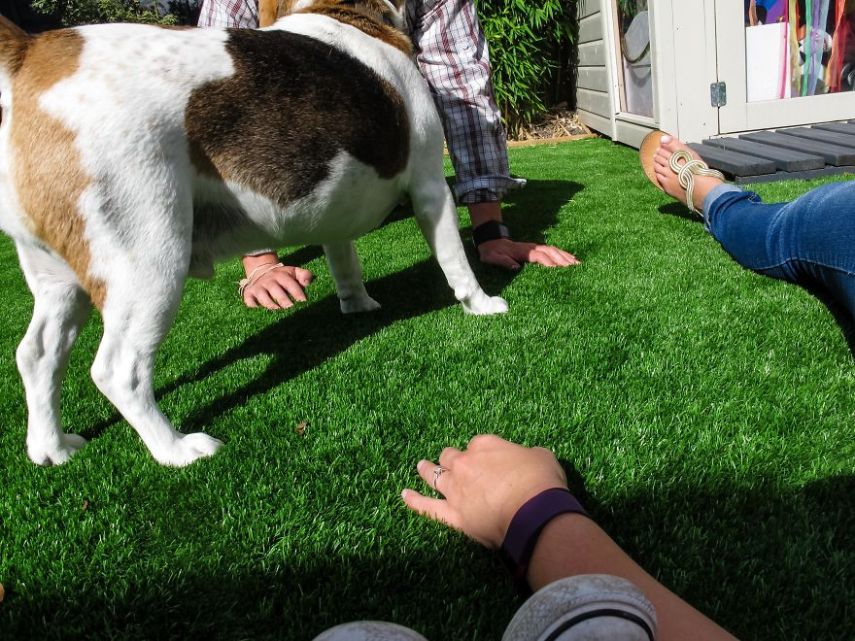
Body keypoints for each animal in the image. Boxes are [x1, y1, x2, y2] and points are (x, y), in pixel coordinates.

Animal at [0, 1, 508, 470]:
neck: (345, 13)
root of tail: (30, 52)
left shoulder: (334, 208)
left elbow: (344, 261)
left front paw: (358, 304)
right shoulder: (430, 185)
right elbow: (456, 262)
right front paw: (482, 304)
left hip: (59, 277)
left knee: (36, 355)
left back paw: (52, 447)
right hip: (150, 261)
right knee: (118, 371)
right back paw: (176, 449)